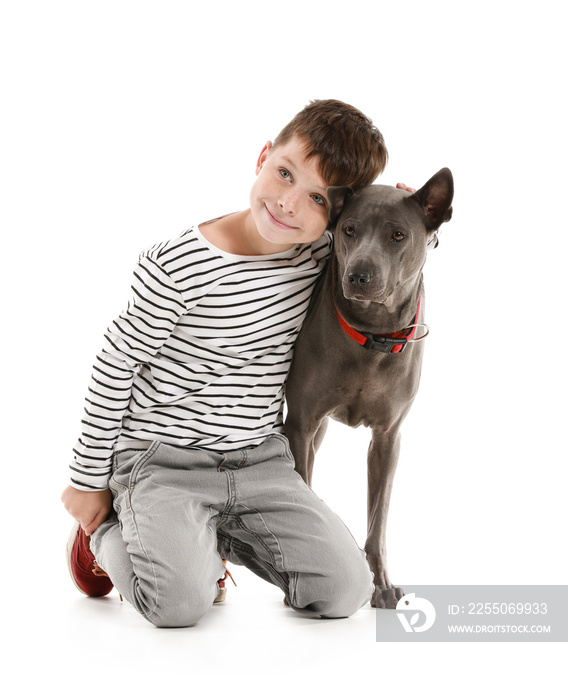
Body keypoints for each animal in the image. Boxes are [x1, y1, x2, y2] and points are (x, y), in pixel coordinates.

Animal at [286, 168, 454, 608]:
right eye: (349, 229)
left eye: (398, 235)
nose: (358, 275)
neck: (371, 335)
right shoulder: (301, 423)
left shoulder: (388, 438)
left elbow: (378, 521)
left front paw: (380, 584)